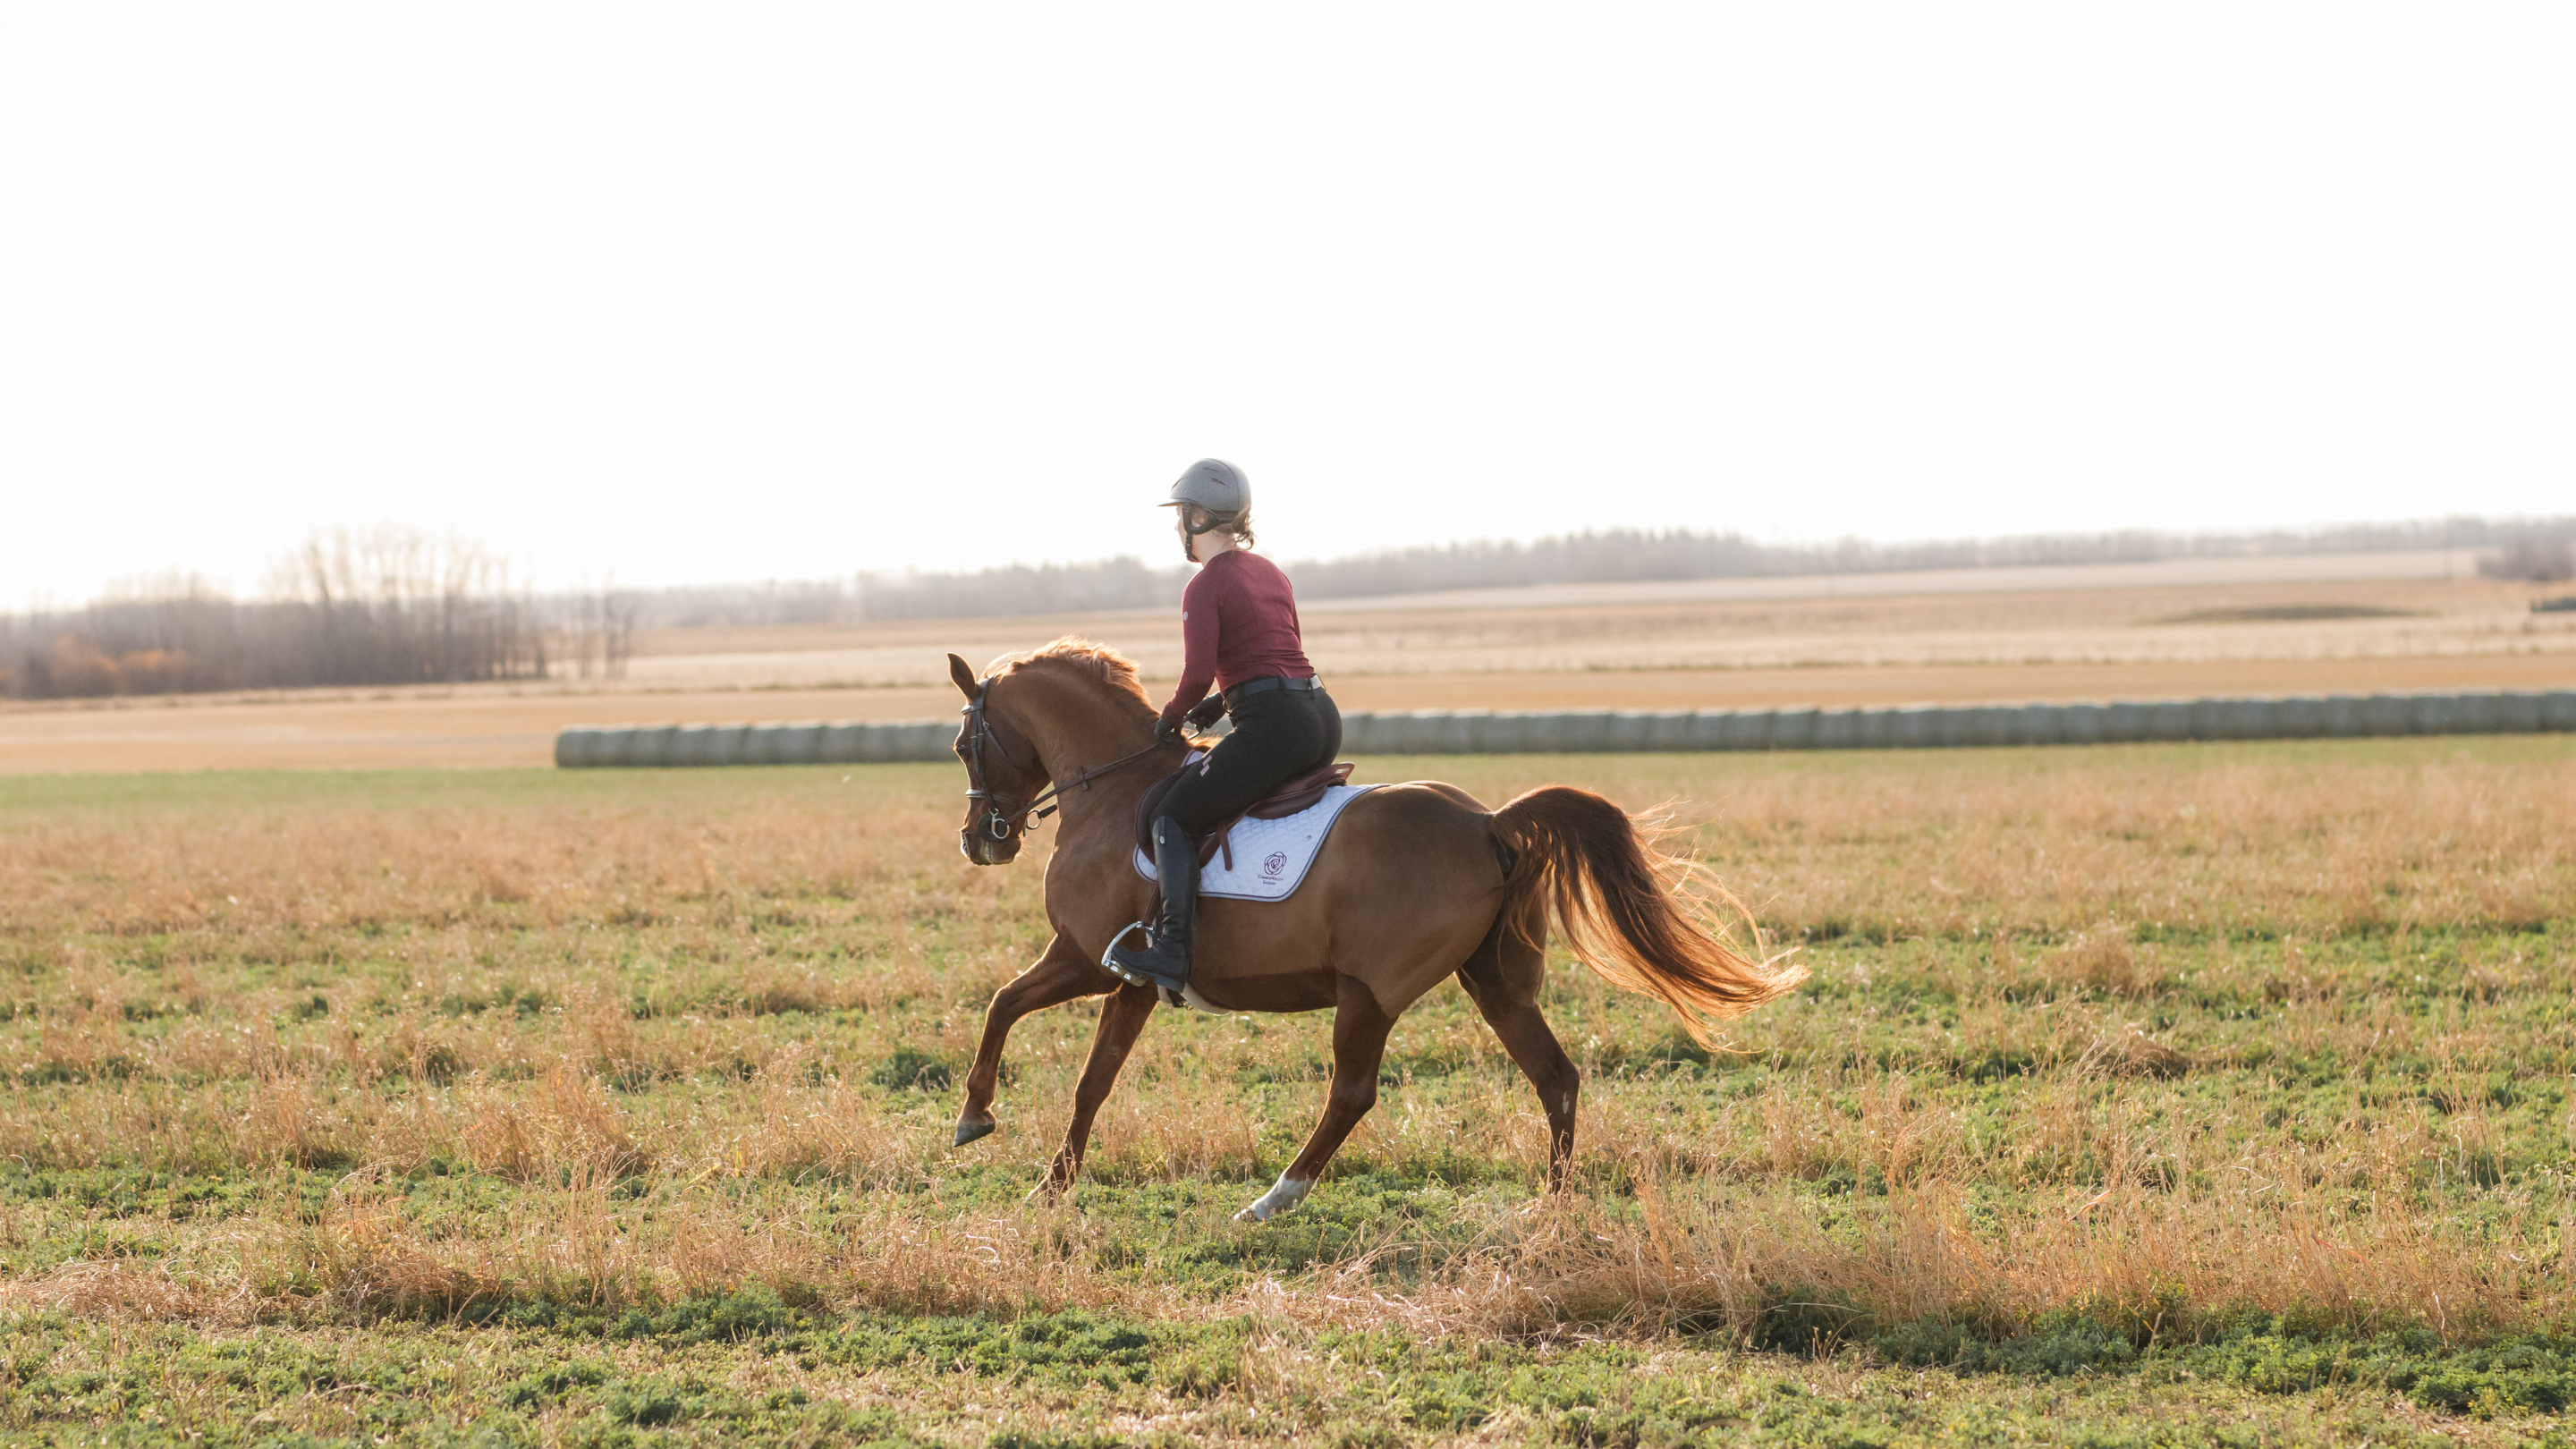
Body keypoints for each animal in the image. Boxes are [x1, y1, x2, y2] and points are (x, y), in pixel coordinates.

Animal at [943, 639, 1804, 1221]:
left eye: (961, 743)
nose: (980, 838)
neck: (1114, 791)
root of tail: (1489, 822)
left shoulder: (1093, 962)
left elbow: (1015, 1017)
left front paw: (983, 1124)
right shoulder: (1118, 978)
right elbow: (1074, 1063)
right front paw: (1041, 1169)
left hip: (1368, 992)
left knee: (1352, 1092)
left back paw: (1276, 1197)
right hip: (1496, 985)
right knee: (1556, 1077)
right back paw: (1552, 1206)